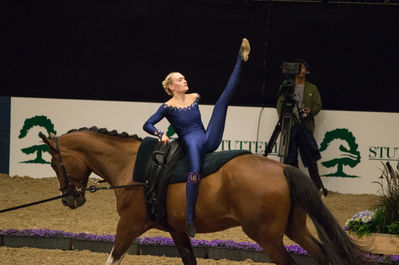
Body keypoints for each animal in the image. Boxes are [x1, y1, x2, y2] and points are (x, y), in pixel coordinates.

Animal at [39, 126, 372, 264]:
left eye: (55, 163)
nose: (69, 198)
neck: (132, 167)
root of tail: (283, 169)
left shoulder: (129, 226)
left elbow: (112, 259)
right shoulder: (176, 231)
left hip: (267, 238)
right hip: (295, 228)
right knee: (321, 255)